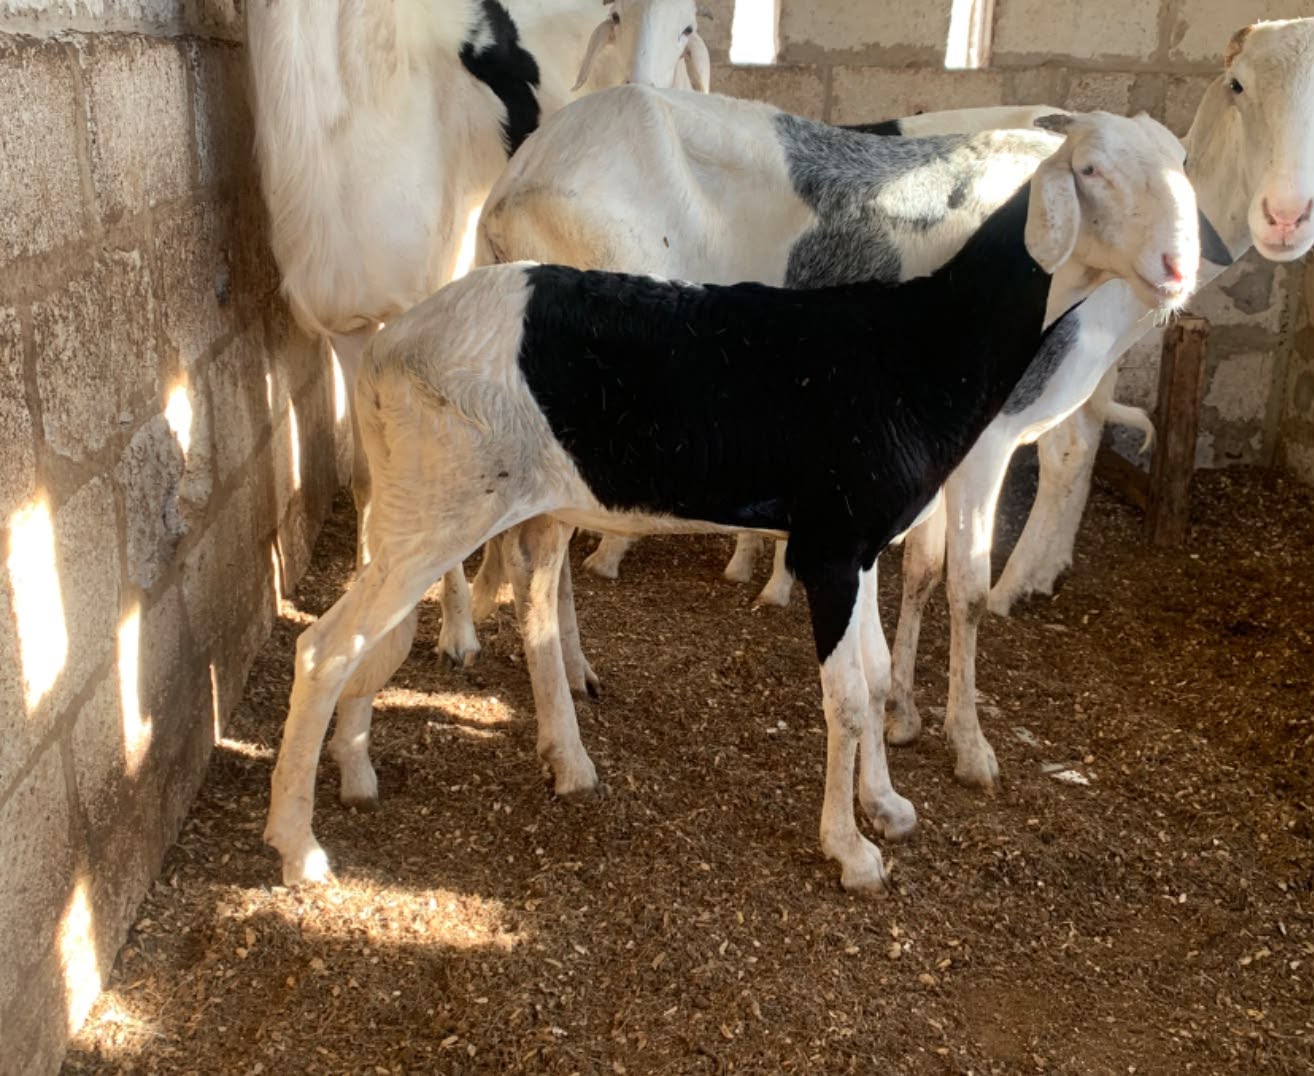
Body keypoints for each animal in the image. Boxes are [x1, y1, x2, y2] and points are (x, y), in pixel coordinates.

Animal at [263, 112, 1203, 891]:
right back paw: (299, 847)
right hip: (440, 506)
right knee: (323, 648)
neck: (921, 341)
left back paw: (368, 775)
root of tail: (389, 352)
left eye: (1183, 168)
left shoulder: (860, 544)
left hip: (434, 508)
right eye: (1092, 170)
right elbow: (845, 698)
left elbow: (868, 678)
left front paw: (886, 807)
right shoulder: (829, 547)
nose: (1177, 270)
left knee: (414, 632)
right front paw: (850, 850)